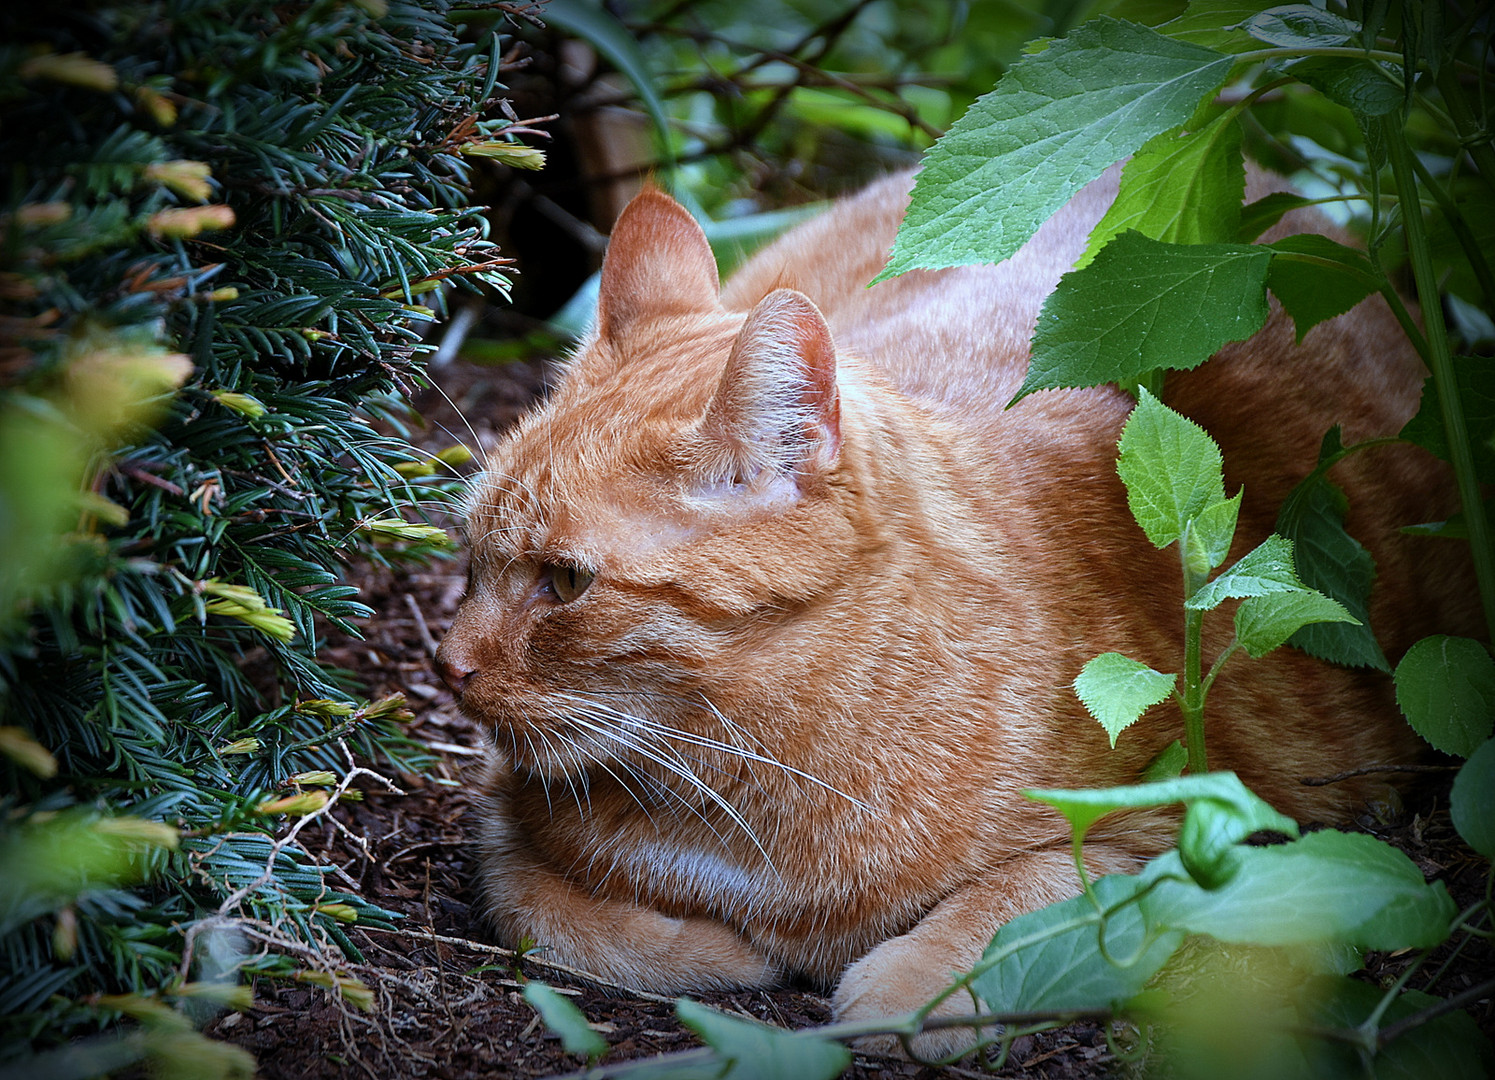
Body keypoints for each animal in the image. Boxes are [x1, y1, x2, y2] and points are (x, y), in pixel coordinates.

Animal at [433, 166, 1471, 1041]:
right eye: (471, 553)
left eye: (565, 582)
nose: (450, 667)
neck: (739, 767)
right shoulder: (499, 819)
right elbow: (534, 906)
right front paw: (712, 948)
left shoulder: (1201, 823)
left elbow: (1014, 903)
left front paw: (906, 982)